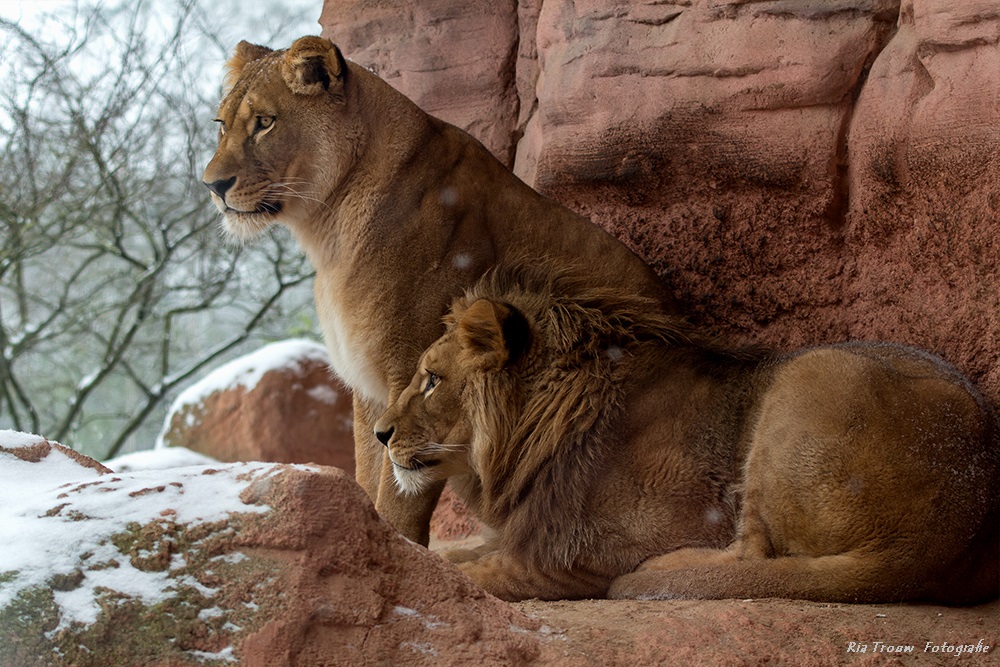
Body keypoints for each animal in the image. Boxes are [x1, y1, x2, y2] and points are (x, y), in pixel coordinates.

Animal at [202, 36, 672, 544]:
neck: (329, 232)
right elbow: (369, 471)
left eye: (264, 123)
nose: (212, 185)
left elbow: (398, 493)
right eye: (221, 125)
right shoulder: (370, 390)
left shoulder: (410, 371)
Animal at [372, 264, 996, 604]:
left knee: (753, 557)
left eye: (431, 380)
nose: (379, 433)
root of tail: (950, 531)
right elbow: (447, 552)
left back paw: (663, 572)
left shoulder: (578, 554)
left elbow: (459, 572)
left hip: (811, 374)